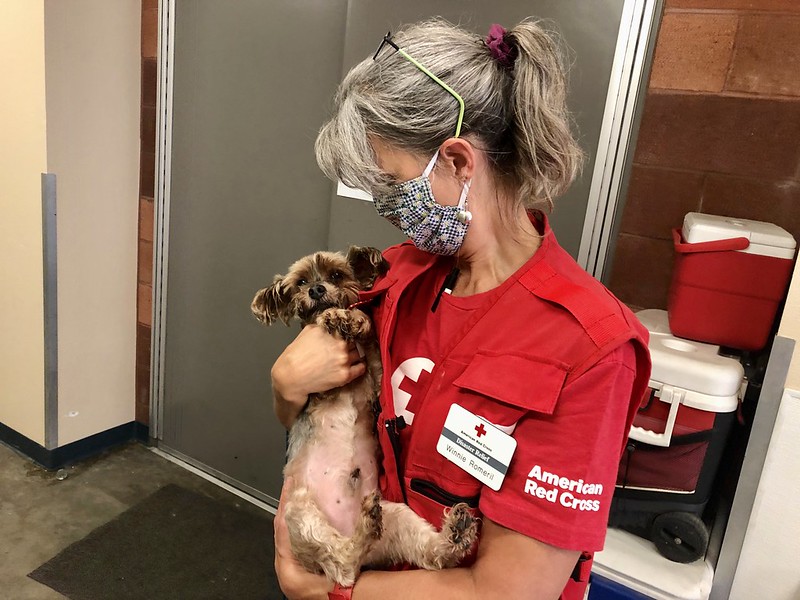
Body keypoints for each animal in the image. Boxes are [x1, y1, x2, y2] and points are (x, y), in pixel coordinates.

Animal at [251, 246, 478, 587]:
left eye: (336, 275)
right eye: (301, 282)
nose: (316, 290)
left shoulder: (375, 378)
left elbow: (369, 338)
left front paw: (355, 319)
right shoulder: (321, 388)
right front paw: (332, 316)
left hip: (397, 517)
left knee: (427, 554)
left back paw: (453, 533)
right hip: (299, 510)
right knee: (344, 567)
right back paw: (365, 529)